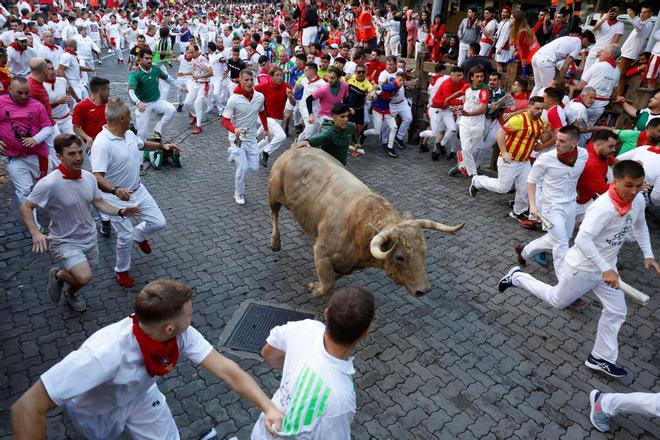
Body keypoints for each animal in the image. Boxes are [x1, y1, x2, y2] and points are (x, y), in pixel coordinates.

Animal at [266, 149, 464, 300]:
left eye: (424, 251)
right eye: (399, 257)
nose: (423, 290)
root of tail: (300, 146)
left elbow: (332, 278)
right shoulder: (321, 252)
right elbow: (328, 284)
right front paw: (315, 288)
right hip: (273, 193)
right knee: (274, 213)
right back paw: (275, 242)